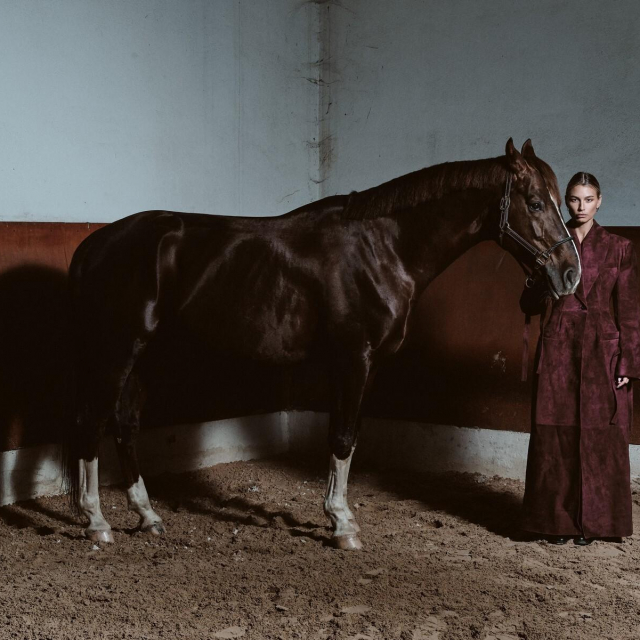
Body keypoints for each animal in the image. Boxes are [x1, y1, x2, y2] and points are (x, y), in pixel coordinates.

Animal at [63, 140, 580, 552]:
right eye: (535, 203)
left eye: (560, 202)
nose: (569, 273)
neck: (384, 249)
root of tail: (96, 243)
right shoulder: (354, 358)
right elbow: (343, 437)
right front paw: (342, 525)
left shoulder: (360, 365)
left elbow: (346, 436)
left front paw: (337, 516)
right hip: (117, 351)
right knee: (91, 423)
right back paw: (96, 522)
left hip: (144, 354)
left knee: (124, 425)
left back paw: (147, 517)